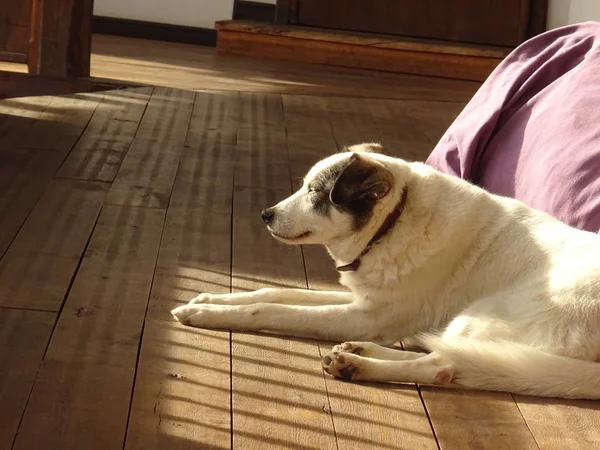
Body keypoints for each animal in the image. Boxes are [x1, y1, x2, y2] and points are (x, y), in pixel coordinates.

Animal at [171, 142, 600, 400]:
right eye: (304, 186)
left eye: (315, 192)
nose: (265, 215)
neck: (393, 220)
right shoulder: (365, 301)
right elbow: (271, 292)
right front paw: (211, 297)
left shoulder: (367, 315)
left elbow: (273, 309)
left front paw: (209, 313)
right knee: (450, 358)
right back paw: (357, 353)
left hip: (484, 314)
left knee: (444, 363)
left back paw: (360, 366)